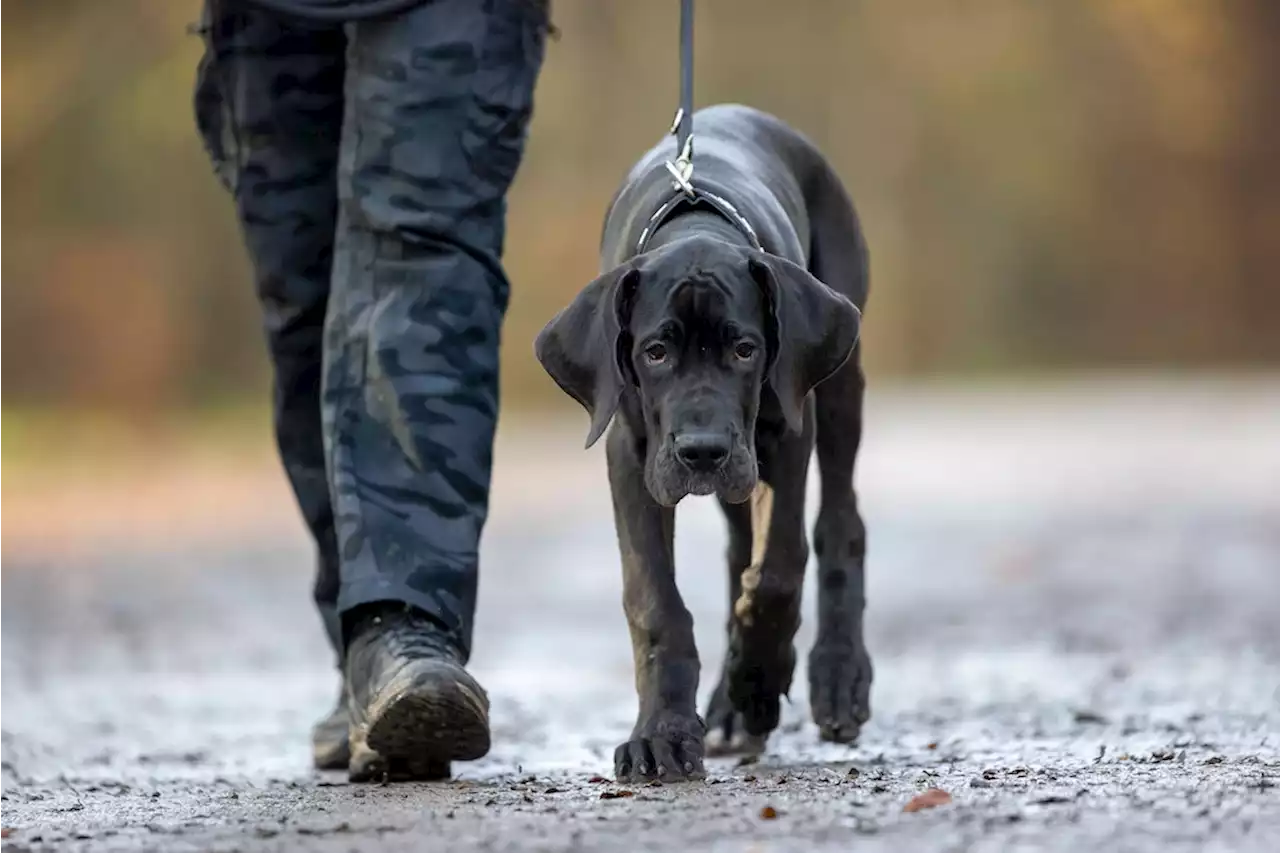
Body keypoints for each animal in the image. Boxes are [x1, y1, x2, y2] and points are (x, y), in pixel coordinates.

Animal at [529, 103, 870, 778]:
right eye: (655, 352)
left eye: (745, 349)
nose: (703, 451)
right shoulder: (632, 456)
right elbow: (655, 599)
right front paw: (662, 733)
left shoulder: (784, 437)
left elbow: (779, 569)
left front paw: (759, 682)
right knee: (741, 553)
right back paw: (733, 703)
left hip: (838, 388)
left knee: (839, 525)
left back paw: (834, 675)